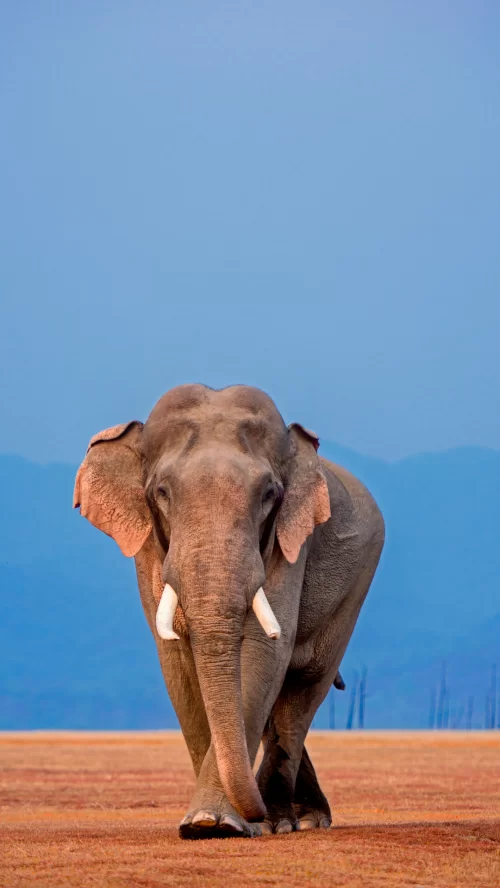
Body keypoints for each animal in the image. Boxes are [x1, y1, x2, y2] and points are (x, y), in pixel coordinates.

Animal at [73, 384, 384, 839]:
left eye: (269, 494)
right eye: (162, 493)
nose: (252, 817)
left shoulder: (290, 540)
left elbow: (263, 650)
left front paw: (219, 823)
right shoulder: (150, 547)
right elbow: (178, 661)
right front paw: (204, 823)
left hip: (358, 582)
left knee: (303, 688)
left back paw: (291, 821)